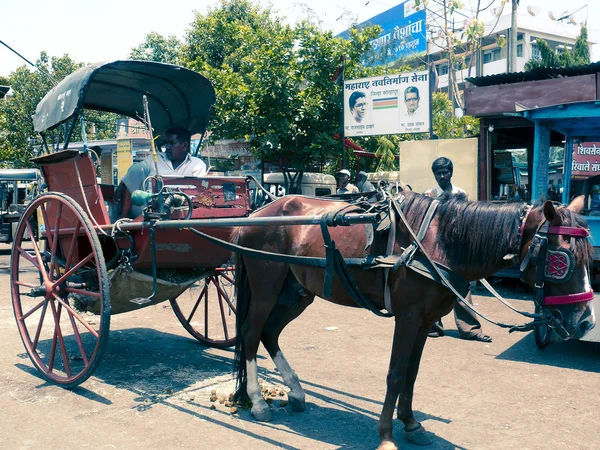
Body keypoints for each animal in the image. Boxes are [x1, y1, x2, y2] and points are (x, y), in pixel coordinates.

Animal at [232, 192, 592, 450]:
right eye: (562, 260)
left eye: (589, 257)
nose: (585, 323)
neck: (440, 243)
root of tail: (256, 214)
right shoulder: (407, 317)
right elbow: (394, 374)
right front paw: (386, 435)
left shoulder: (425, 320)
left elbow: (412, 374)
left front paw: (411, 424)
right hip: (266, 287)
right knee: (250, 334)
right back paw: (258, 402)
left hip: (296, 293)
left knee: (269, 334)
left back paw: (295, 393)